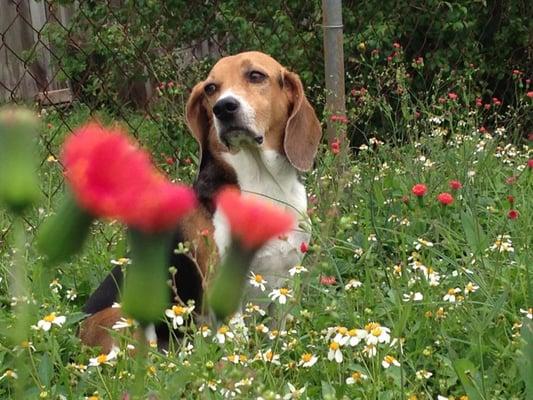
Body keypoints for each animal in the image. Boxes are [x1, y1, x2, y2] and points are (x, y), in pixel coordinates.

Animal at [78, 51, 320, 352]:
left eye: (255, 75)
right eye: (210, 88)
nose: (223, 108)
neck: (263, 184)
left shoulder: (288, 275)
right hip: (125, 318)